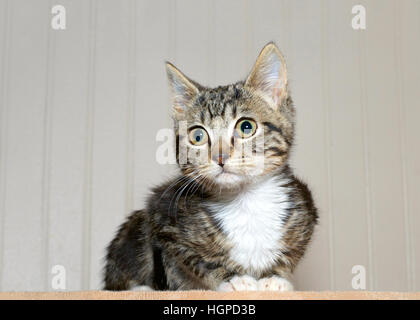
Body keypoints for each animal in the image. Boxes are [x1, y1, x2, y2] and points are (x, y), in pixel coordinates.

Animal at [103, 42, 316, 290]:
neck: (245, 200)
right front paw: (233, 279)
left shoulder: (305, 211)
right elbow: (198, 262)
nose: (220, 156)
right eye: (198, 136)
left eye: (246, 127)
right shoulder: (163, 221)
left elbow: (289, 256)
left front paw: (276, 278)